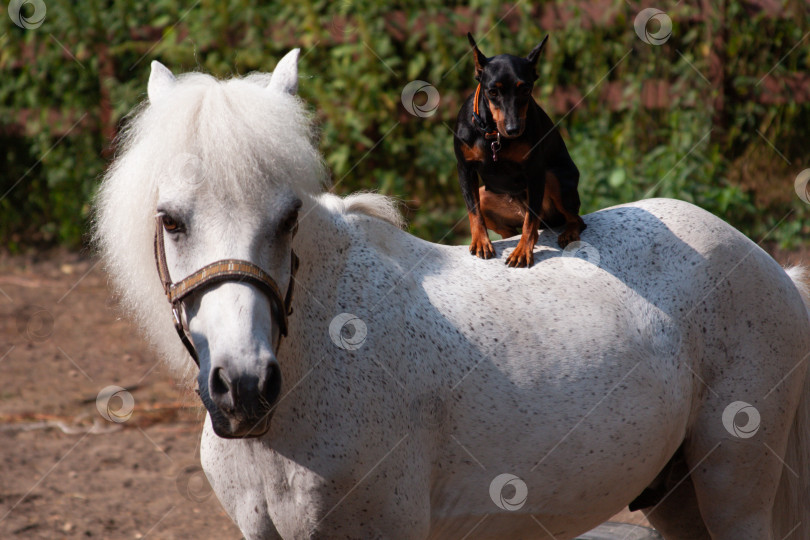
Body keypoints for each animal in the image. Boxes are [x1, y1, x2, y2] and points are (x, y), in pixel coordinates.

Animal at [454, 33, 580, 268]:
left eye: (526, 89)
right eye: (492, 91)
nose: (513, 129)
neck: (494, 135)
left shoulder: (535, 171)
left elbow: (530, 222)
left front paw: (522, 252)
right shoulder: (465, 169)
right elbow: (473, 211)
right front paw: (481, 242)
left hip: (554, 180)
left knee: (573, 219)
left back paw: (569, 233)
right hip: (488, 195)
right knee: (512, 229)